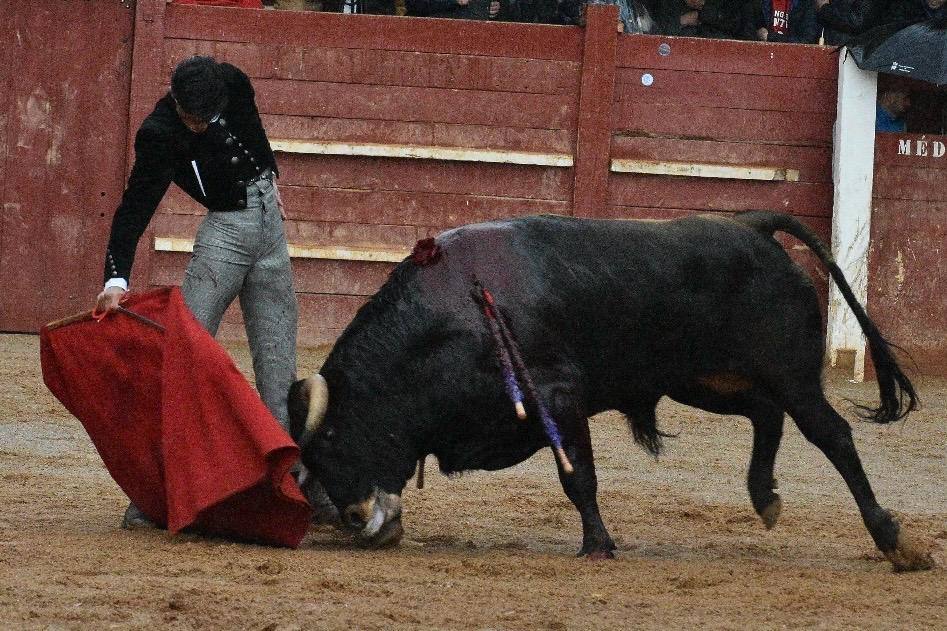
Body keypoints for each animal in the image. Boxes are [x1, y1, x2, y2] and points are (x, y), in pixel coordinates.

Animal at [286, 212, 932, 572]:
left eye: (336, 440)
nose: (351, 520)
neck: (455, 314)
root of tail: (751, 227)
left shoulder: (560, 398)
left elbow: (579, 479)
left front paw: (597, 544)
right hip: (702, 380)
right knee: (764, 415)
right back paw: (763, 496)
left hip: (789, 374)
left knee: (831, 434)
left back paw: (895, 541)